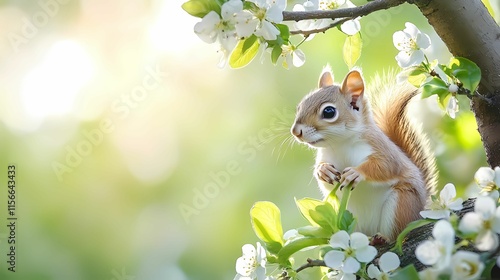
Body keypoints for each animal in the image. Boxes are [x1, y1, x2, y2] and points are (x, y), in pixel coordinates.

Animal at [292, 66, 436, 241]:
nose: (295, 132)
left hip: (401, 204)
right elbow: (324, 179)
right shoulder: (325, 155)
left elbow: (385, 166)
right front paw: (323, 170)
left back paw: (382, 238)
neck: (340, 144)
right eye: (300, 106)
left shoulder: (382, 149)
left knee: (397, 233)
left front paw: (356, 173)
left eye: (329, 112)